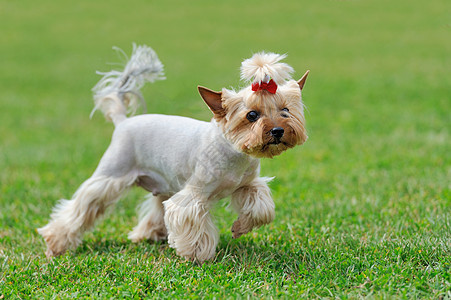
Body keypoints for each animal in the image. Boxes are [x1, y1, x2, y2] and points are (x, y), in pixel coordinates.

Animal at [38, 44, 310, 262]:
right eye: (252, 115)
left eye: (285, 110)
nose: (277, 131)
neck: (234, 151)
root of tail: (122, 121)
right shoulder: (194, 195)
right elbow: (193, 223)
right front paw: (197, 254)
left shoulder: (249, 185)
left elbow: (262, 209)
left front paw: (239, 228)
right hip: (111, 173)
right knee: (80, 207)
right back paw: (55, 244)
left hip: (164, 182)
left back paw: (148, 235)